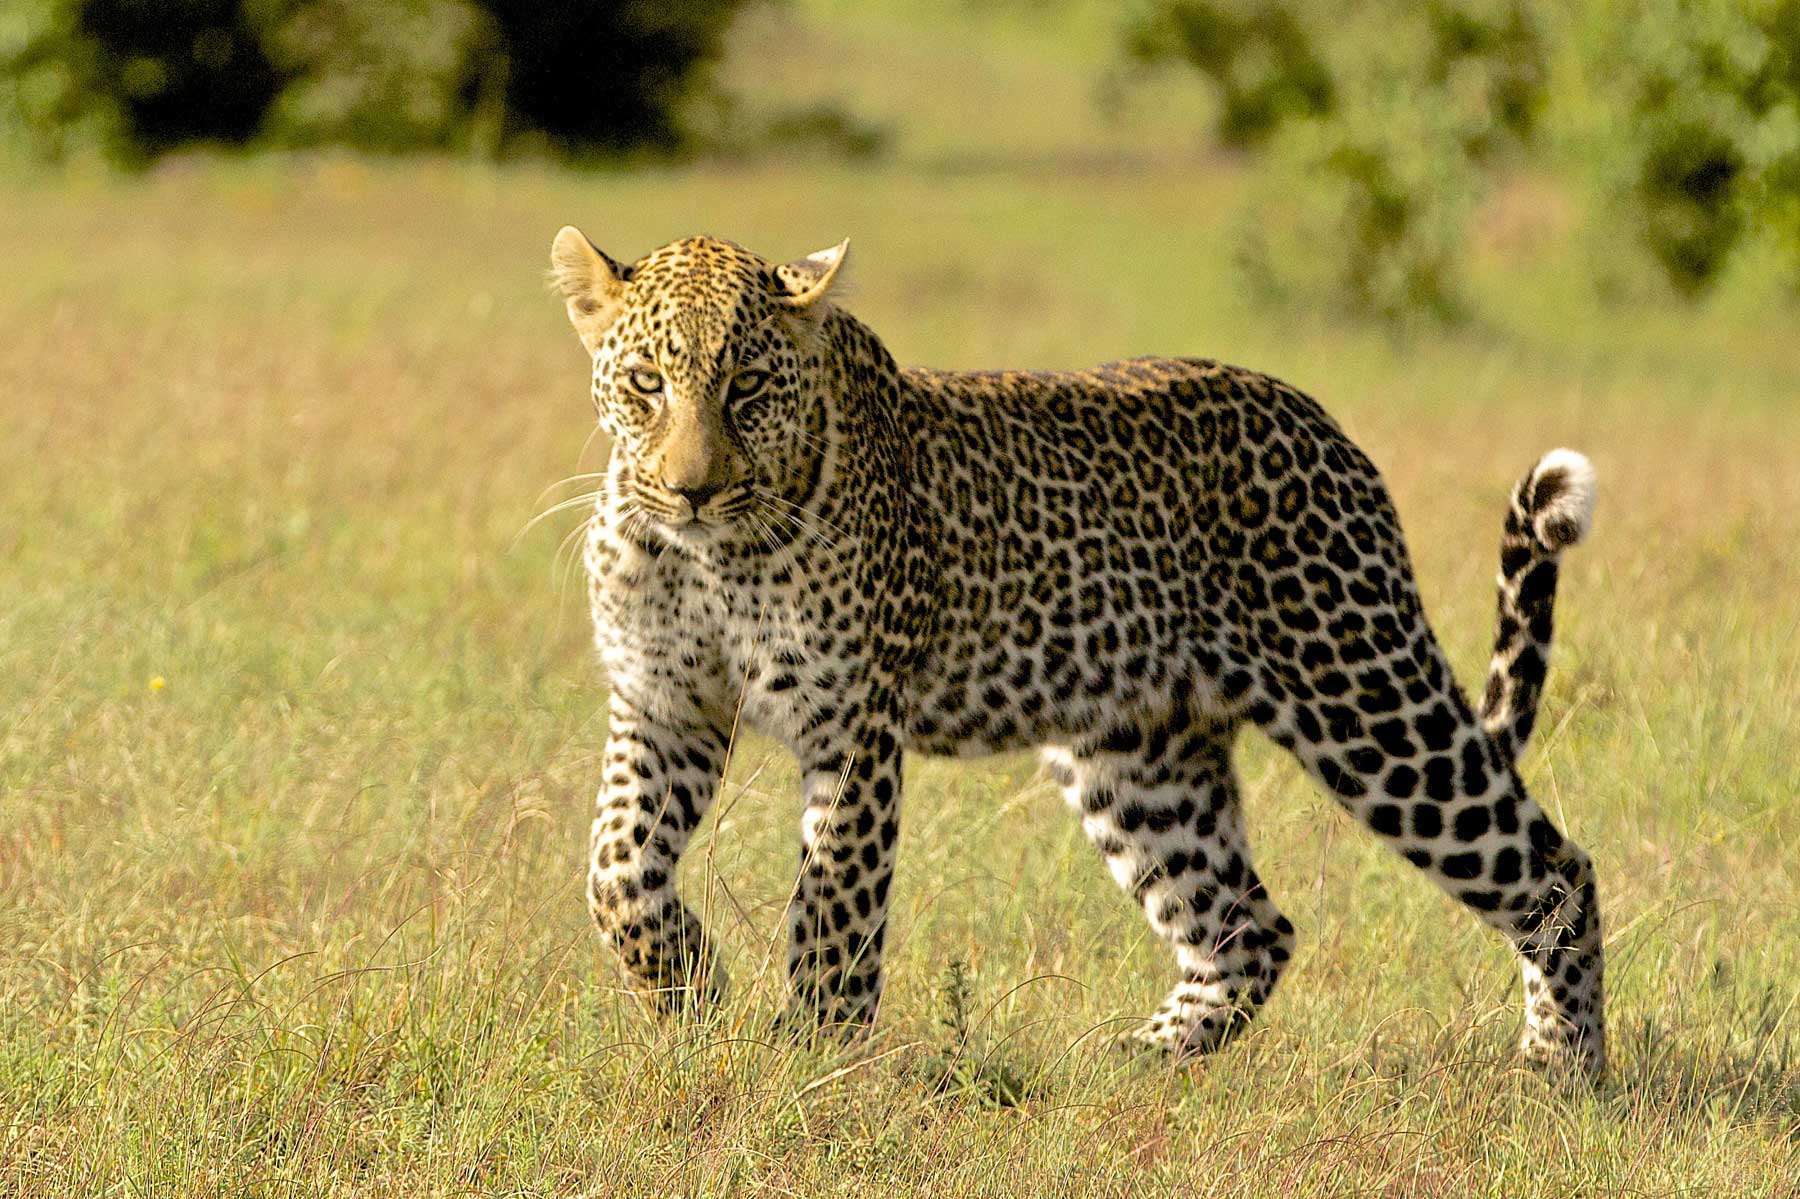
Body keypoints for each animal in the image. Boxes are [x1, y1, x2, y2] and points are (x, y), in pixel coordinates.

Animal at [548, 226, 1606, 1077]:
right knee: (1248, 928)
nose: (690, 488)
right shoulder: (661, 705)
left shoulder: (851, 730)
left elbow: (834, 909)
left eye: (748, 387)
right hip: (1140, 759)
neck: (707, 556)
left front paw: (813, 1062)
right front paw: (688, 980)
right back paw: (1130, 1062)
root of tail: (1331, 432)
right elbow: (617, 871)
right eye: (645, 383)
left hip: (1363, 697)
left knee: (1556, 873)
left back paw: (1561, 1076)